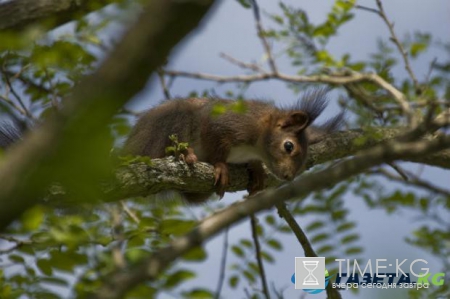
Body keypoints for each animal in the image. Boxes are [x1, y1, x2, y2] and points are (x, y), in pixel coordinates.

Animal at [121, 88, 342, 204]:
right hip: (171, 123)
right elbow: (215, 143)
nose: (288, 176)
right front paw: (220, 166)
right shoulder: (226, 123)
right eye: (289, 146)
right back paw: (186, 154)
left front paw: (257, 169)